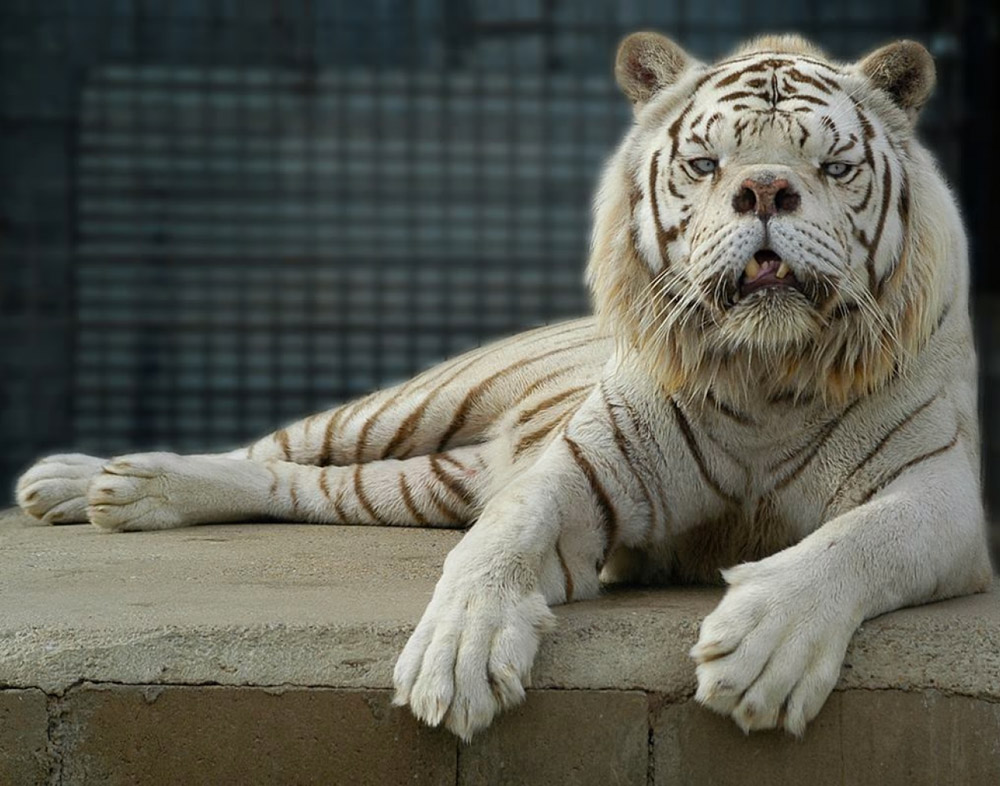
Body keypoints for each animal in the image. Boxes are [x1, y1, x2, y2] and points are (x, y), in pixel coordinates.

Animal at [13, 32, 992, 740]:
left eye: (834, 167)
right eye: (706, 165)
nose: (764, 191)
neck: (765, 374)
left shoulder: (939, 495)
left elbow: (858, 542)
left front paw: (764, 647)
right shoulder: (583, 468)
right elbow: (498, 544)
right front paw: (456, 656)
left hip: (425, 482)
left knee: (300, 485)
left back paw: (113, 493)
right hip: (412, 407)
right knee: (273, 449)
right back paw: (93, 481)